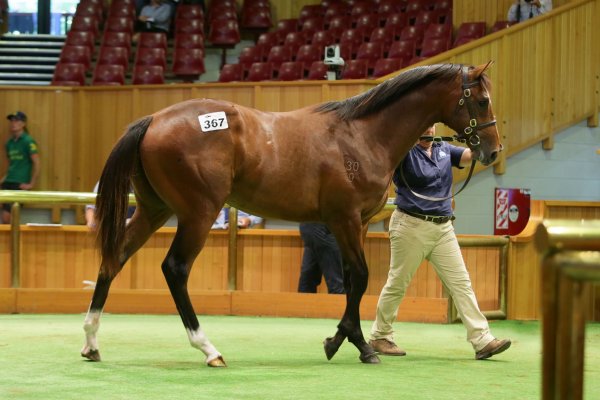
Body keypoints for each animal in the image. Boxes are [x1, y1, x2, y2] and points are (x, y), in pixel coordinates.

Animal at [81, 62, 502, 366]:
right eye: (481, 100)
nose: (493, 151)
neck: (362, 136)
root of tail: (152, 120)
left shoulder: (358, 224)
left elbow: (353, 281)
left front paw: (346, 340)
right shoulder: (345, 219)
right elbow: (360, 277)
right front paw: (351, 344)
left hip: (154, 209)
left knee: (114, 258)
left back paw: (91, 342)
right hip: (198, 214)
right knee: (175, 269)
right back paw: (209, 349)